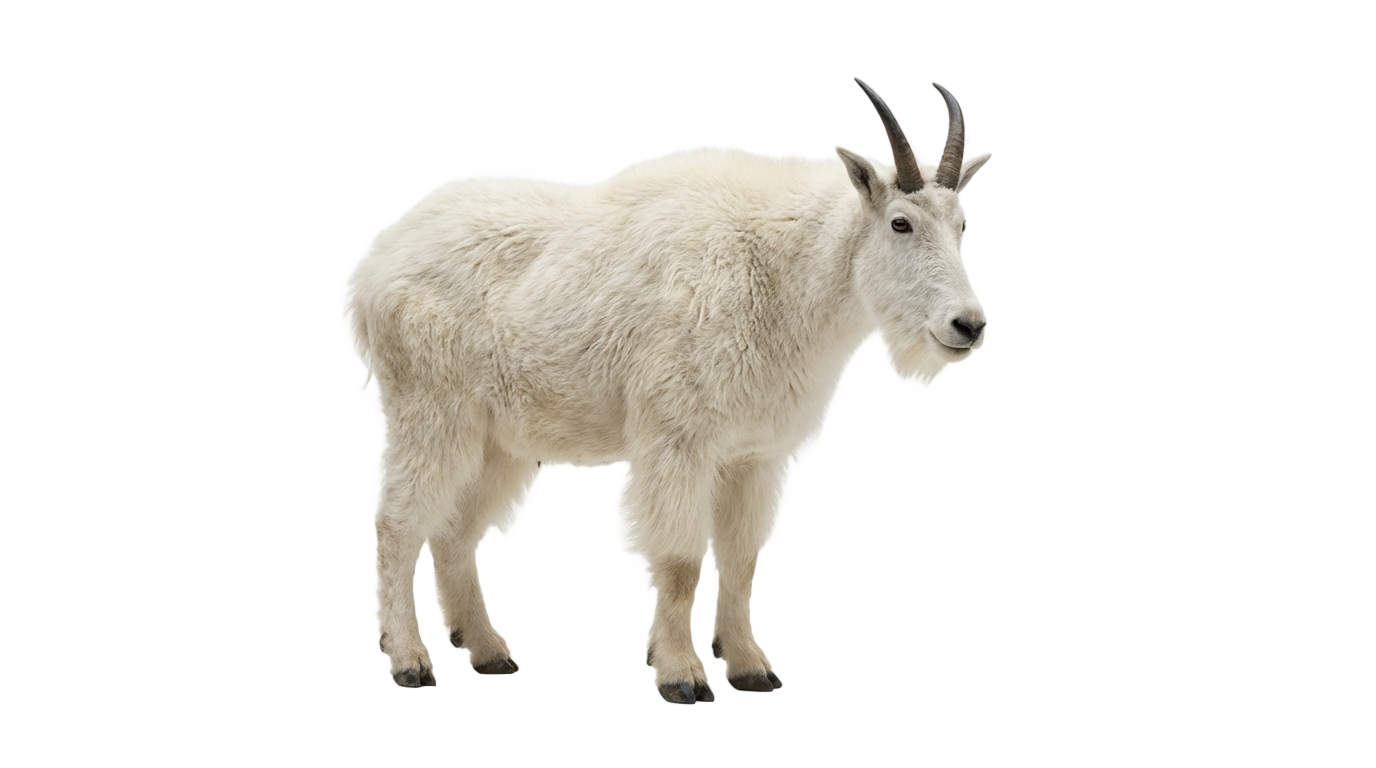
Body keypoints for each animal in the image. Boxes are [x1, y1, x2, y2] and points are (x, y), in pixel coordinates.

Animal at [349, 79, 989, 701]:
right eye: (900, 222)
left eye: (962, 226)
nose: (967, 325)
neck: (782, 275)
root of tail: (374, 267)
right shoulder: (675, 440)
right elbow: (680, 561)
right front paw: (679, 675)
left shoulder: (753, 457)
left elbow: (742, 561)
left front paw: (750, 669)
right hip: (431, 409)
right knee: (397, 523)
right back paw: (408, 661)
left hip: (497, 440)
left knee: (454, 531)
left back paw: (488, 652)